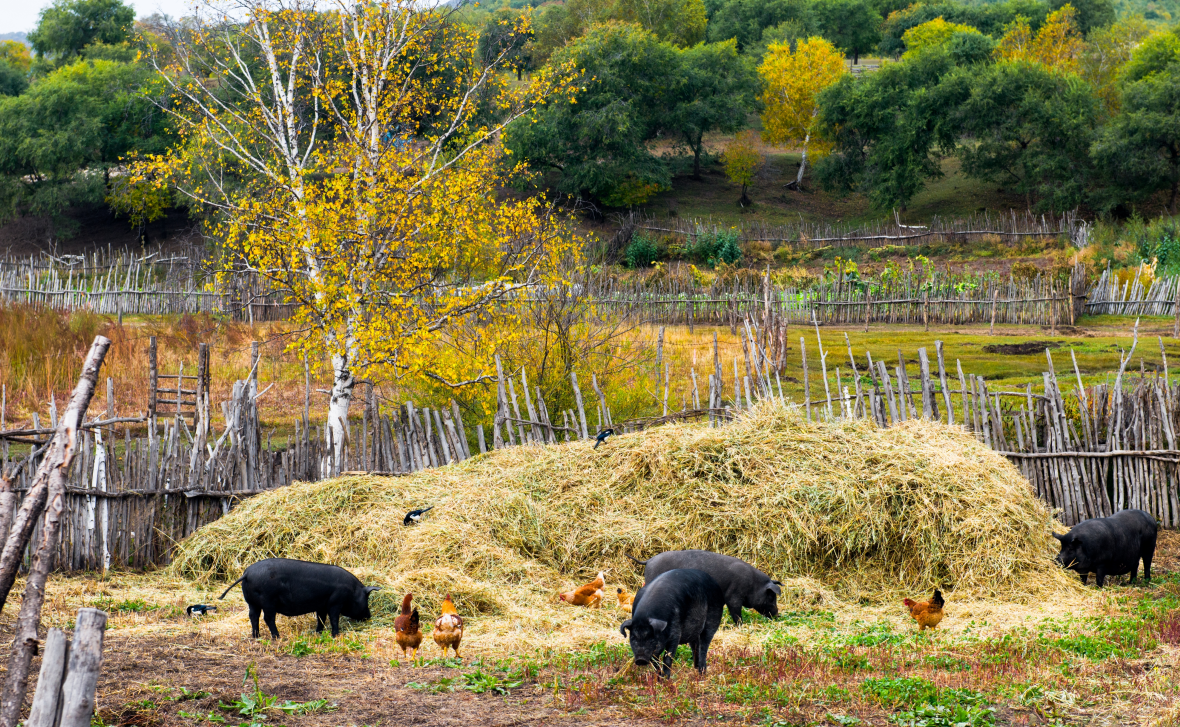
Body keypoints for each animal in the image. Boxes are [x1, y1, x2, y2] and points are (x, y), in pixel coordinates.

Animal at [218, 557, 382, 637]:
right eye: (366, 598)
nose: (368, 616)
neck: (352, 591)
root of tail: (247, 573)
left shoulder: (321, 605)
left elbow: (321, 619)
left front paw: (318, 632)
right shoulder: (335, 602)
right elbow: (334, 618)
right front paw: (336, 635)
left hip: (251, 602)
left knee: (253, 616)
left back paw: (256, 636)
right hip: (268, 600)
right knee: (268, 618)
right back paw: (277, 636)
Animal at [627, 549, 783, 623]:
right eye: (772, 597)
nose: (777, 614)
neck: (753, 585)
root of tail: (648, 561)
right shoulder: (733, 596)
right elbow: (736, 613)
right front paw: (740, 625)